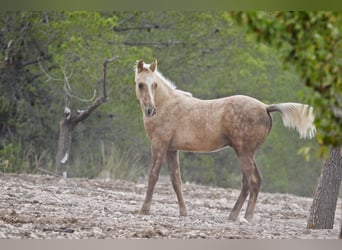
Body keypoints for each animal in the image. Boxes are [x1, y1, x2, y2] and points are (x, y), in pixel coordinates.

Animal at [134, 58, 316, 221]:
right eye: (141, 84)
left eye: (154, 85)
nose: (151, 110)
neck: (167, 105)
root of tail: (265, 107)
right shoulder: (171, 149)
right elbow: (176, 180)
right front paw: (183, 212)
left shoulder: (159, 145)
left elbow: (153, 176)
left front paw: (144, 210)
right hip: (247, 154)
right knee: (246, 182)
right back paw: (233, 215)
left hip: (244, 153)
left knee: (254, 180)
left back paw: (247, 217)